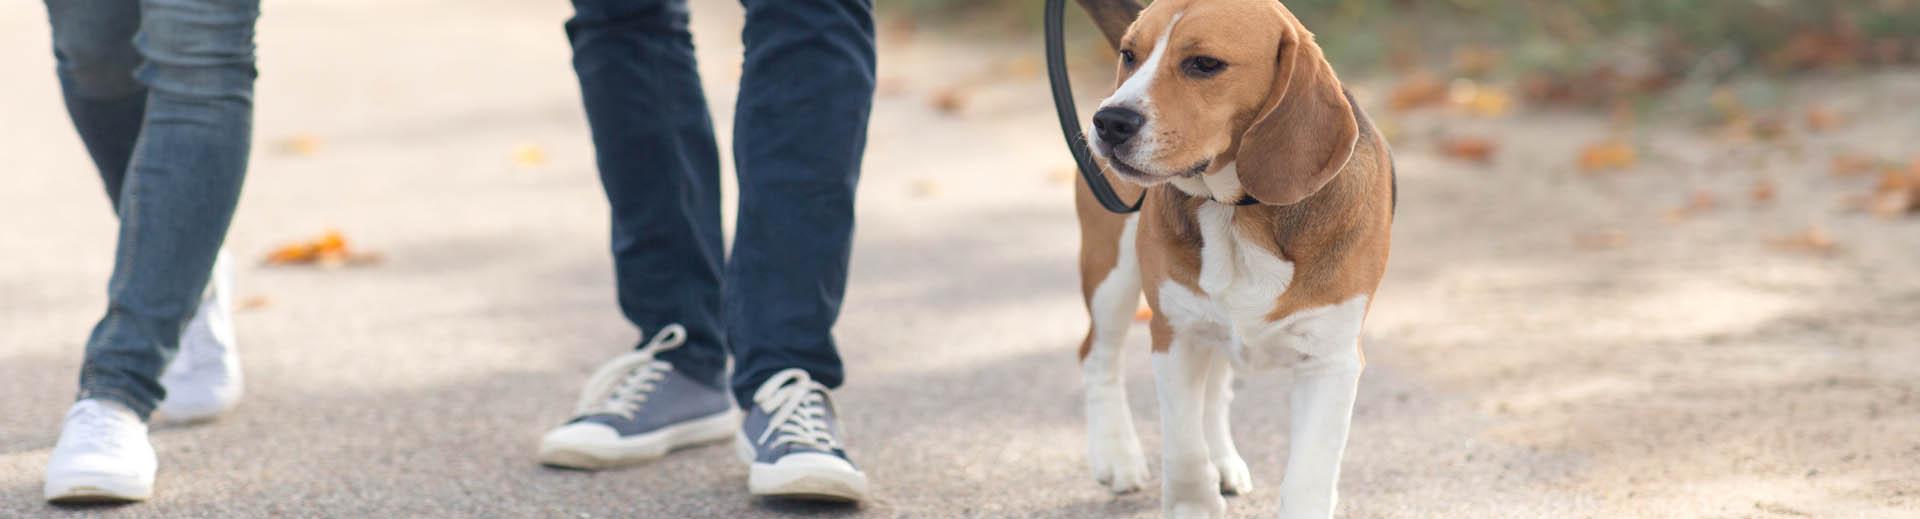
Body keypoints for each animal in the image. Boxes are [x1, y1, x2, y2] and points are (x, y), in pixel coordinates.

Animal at [1075, 2, 1390, 515]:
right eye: (1129, 54)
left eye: (1204, 64)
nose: (1109, 121)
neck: (1236, 211)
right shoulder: (1175, 334)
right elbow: (1184, 449)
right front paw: (1192, 506)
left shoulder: (1331, 359)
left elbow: (1309, 476)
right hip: (1111, 273)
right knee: (1097, 355)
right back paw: (1116, 455)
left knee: (1213, 392)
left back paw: (1220, 462)